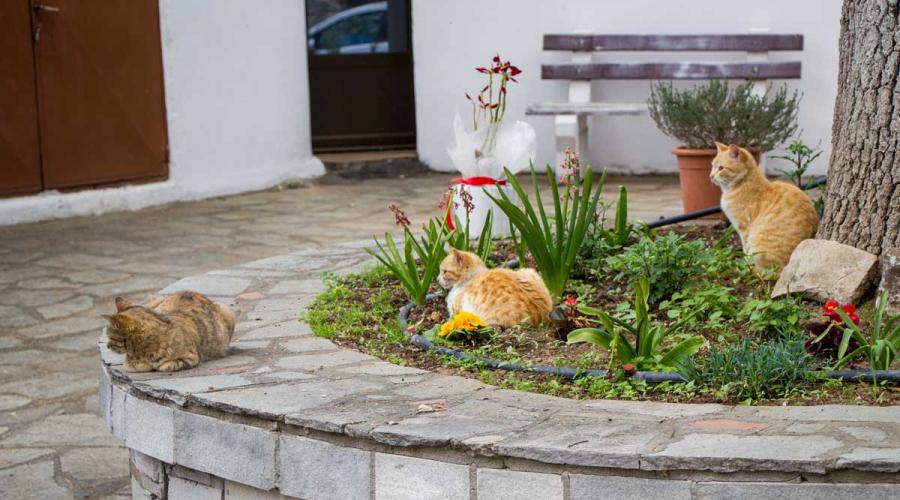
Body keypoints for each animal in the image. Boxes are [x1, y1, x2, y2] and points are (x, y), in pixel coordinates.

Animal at [104, 291, 235, 372]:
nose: (107, 346)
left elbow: (169, 365)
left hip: (227, 311)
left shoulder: (191, 358)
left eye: (110, 337)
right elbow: (131, 365)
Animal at [710, 142, 819, 274]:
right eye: (712, 166)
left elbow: (745, 249)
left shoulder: (744, 228)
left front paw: (745, 263)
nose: (711, 176)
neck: (742, 183)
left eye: (721, 168)